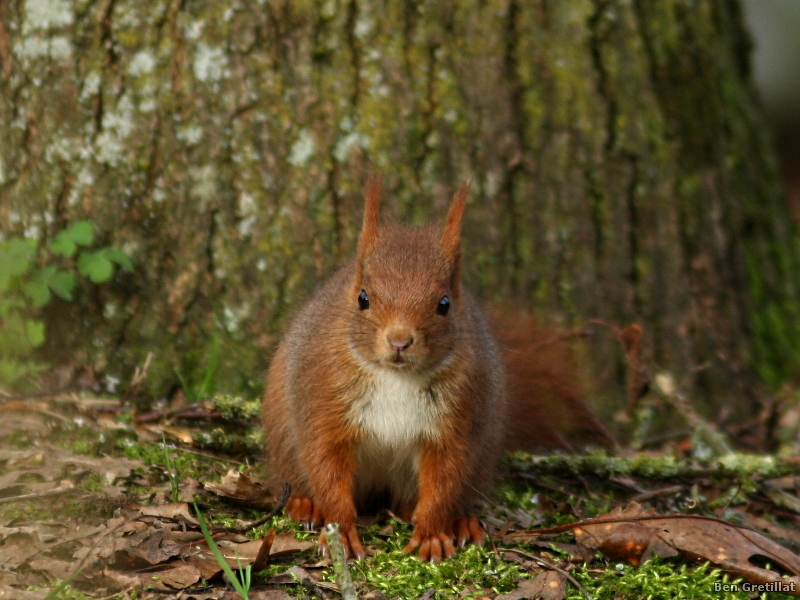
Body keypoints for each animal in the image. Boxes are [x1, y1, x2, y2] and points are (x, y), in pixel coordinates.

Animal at [262, 177, 612, 564]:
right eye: (363, 298)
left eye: (444, 304)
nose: (399, 341)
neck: (396, 377)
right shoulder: (324, 400)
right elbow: (326, 466)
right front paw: (342, 532)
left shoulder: (456, 422)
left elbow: (444, 479)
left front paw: (430, 535)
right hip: (283, 435)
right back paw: (304, 504)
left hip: (481, 453)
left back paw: (461, 522)